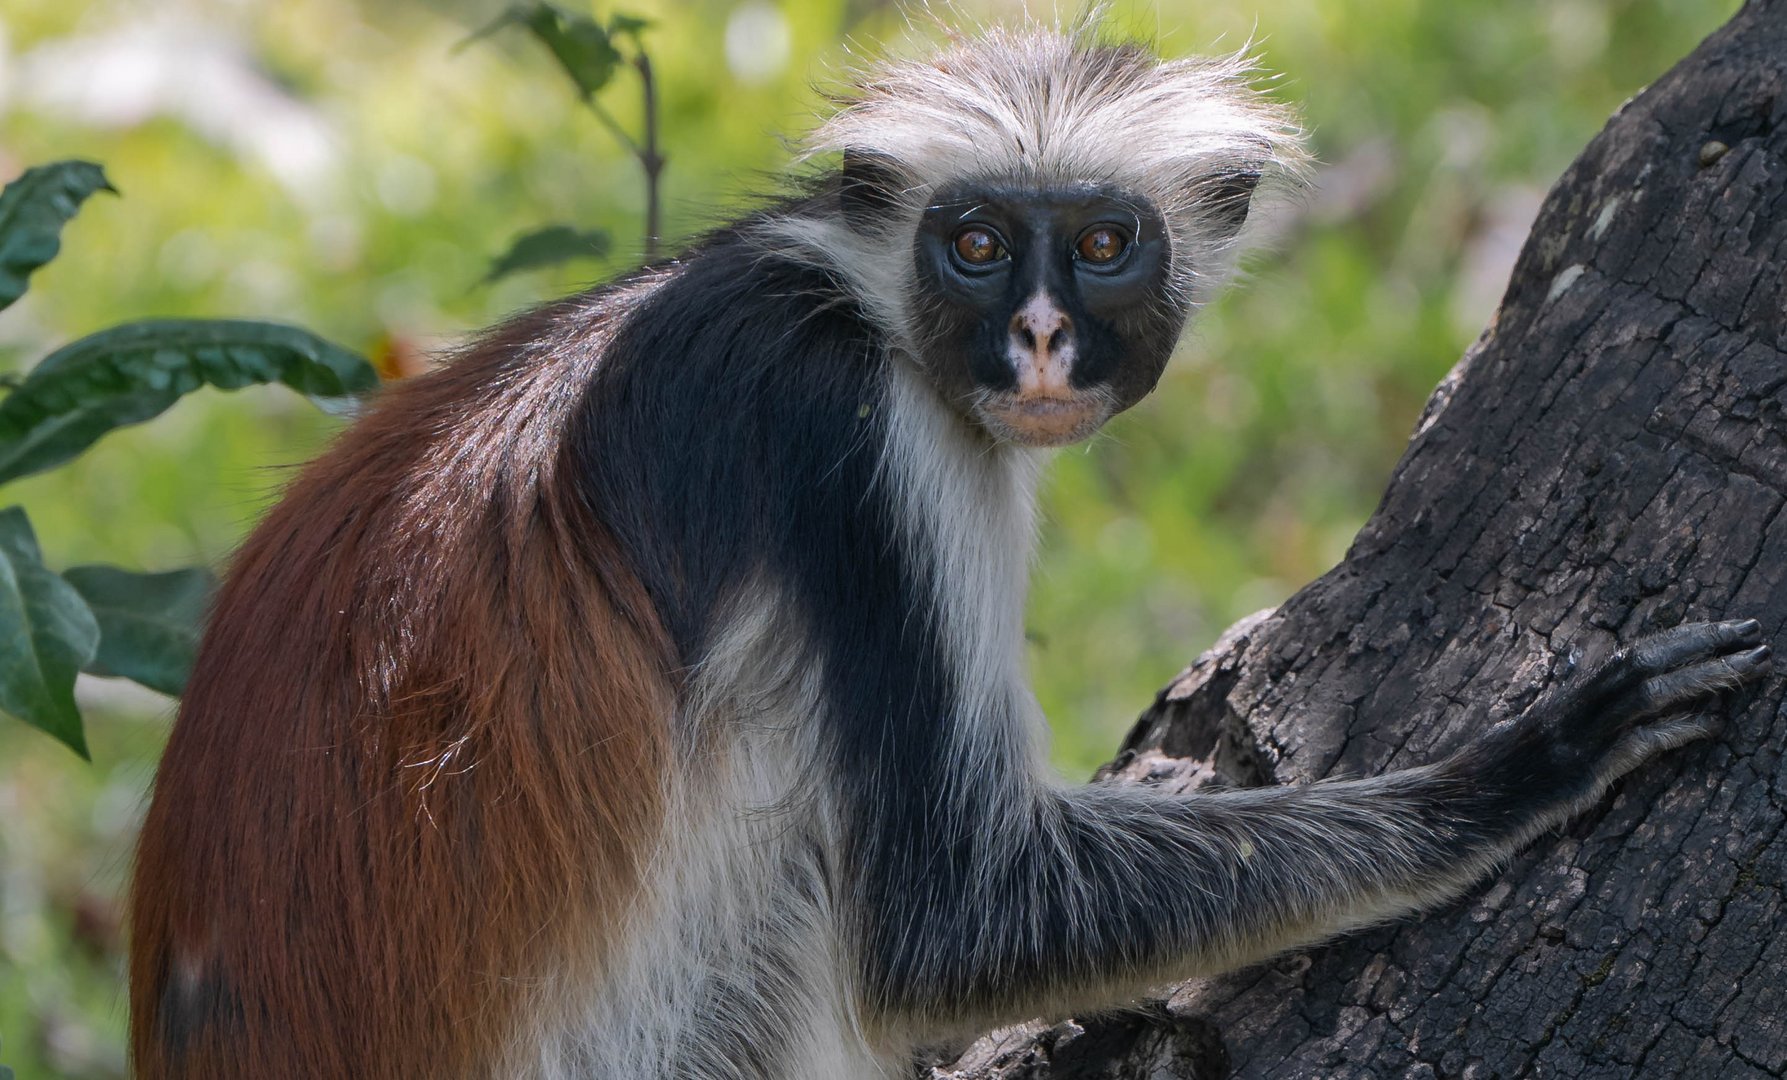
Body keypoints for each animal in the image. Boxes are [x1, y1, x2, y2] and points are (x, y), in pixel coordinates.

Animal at [129, 25, 1772, 1080]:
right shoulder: (861, 448)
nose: (1037, 337)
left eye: (1099, 245)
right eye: (975, 245)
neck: (832, 297)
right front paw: (1512, 773)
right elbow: (949, 929)